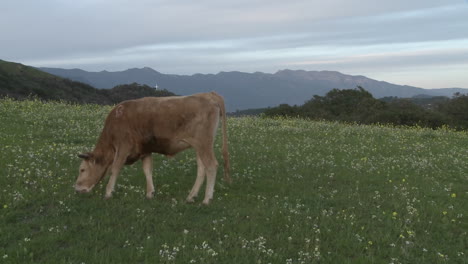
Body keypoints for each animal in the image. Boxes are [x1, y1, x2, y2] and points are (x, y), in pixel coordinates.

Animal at [73, 92, 232, 205]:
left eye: (82, 170)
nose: (76, 188)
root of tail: (208, 94)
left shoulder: (123, 147)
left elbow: (115, 168)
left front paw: (108, 193)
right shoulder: (145, 150)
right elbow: (147, 170)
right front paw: (150, 193)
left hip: (204, 143)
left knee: (211, 166)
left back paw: (206, 199)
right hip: (199, 146)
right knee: (202, 169)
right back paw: (191, 196)